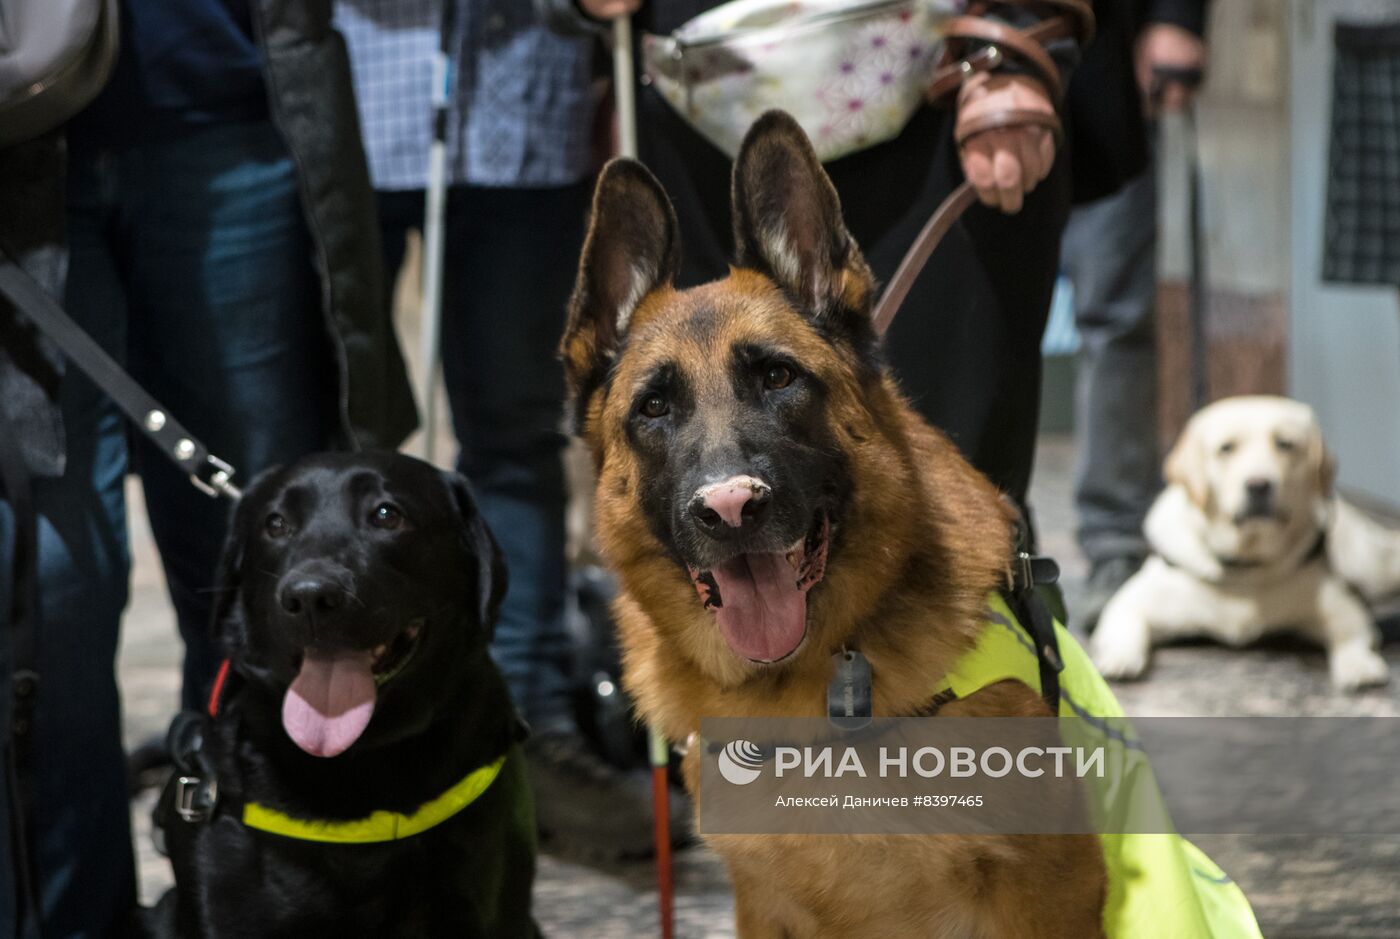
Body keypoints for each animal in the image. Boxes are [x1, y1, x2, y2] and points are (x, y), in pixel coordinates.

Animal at [1092, 391, 1400, 694]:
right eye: (1226, 448)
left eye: (1285, 444)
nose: (1259, 484)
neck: (1244, 566)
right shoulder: (1131, 604)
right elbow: (1124, 628)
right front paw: (1118, 658)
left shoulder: (1341, 606)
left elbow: (1352, 636)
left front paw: (1359, 665)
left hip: (1367, 564)